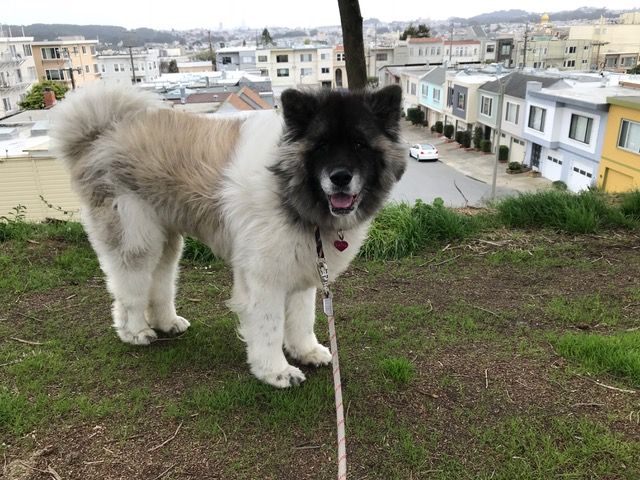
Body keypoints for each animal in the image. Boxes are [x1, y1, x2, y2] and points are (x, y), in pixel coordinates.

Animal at [51, 84, 404, 388]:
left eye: (359, 144)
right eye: (322, 146)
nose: (340, 177)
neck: (287, 188)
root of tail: (100, 133)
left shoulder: (302, 269)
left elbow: (302, 318)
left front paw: (306, 351)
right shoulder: (264, 277)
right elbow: (269, 326)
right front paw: (275, 371)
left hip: (166, 240)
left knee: (160, 282)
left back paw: (167, 322)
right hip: (136, 239)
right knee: (130, 290)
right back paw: (135, 331)